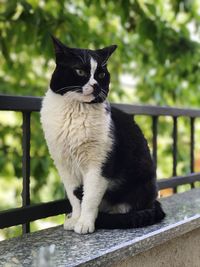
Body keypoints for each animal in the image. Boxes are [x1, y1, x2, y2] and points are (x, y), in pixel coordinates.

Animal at [39, 37, 165, 234]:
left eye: (101, 74)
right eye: (80, 71)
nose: (96, 85)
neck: (76, 110)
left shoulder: (100, 164)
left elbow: (90, 197)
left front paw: (85, 223)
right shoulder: (64, 165)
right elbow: (74, 196)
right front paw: (75, 218)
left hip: (142, 181)